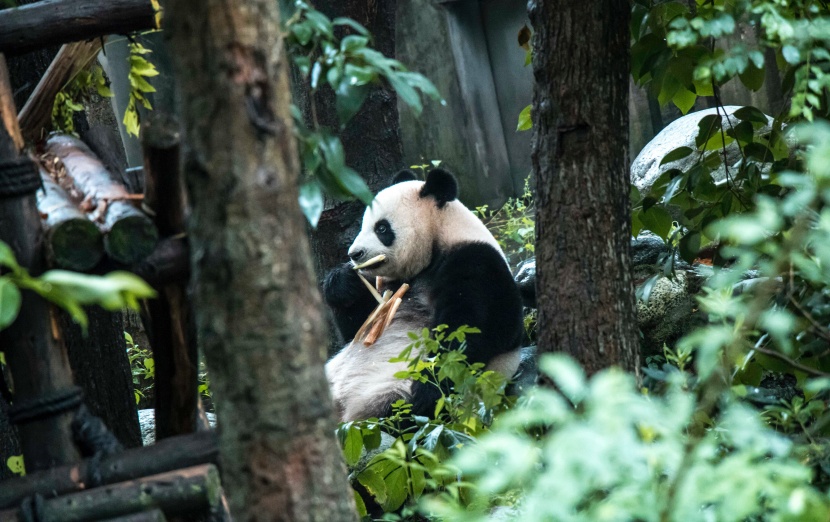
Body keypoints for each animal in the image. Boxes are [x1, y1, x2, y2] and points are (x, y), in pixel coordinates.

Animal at [322, 169, 524, 420]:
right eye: (363, 225)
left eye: (381, 228)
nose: (355, 254)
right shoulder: (389, 285)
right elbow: (357, 330)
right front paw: (343, 282)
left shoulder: (477, 264)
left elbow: (471, 330)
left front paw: (427, 390)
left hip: (388, 388)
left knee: (396, 411)